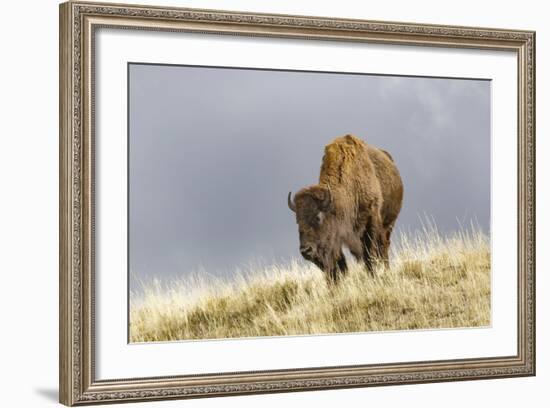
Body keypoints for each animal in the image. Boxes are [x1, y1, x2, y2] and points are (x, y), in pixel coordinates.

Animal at [288, 135, 406, 282]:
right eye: (297, 221)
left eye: (318, 217)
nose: (306, 250)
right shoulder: (337, 235)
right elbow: (339, 263)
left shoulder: (371, 219)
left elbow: (369, 253)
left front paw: (373, 276)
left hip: (389, 224)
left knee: (383, 247)